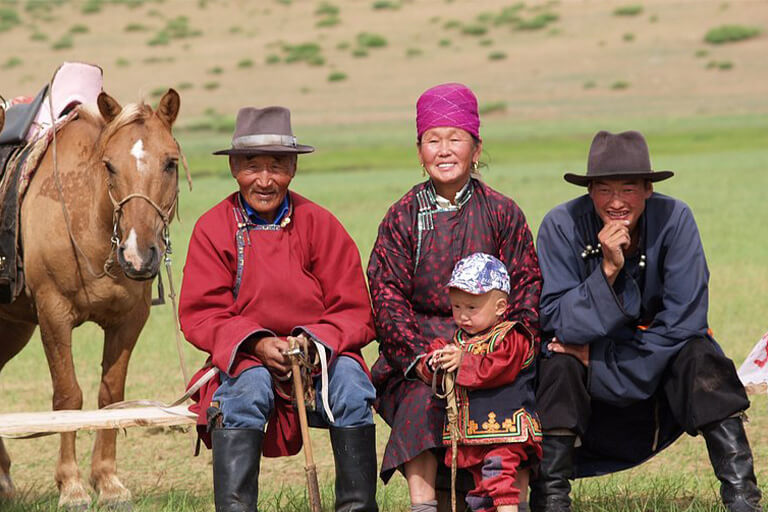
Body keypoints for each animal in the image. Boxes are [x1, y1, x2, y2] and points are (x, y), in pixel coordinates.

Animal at [0, 89, 182, 508]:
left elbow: (111, 396)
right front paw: (72, 487)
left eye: (170, 163)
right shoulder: (53, 315)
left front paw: (109, 482)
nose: (137, 254)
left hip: (12, 328)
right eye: (109, 165)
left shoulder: (129, 320)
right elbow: (68, 398)